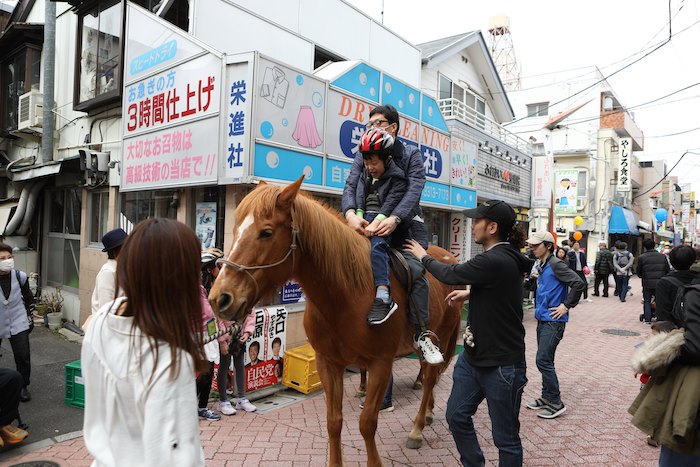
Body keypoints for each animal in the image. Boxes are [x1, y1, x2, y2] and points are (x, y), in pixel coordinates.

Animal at [208, 177, 464, 466]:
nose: (220, 298)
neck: (348, 294)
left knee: (430, 377)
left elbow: (367, 423)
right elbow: (333, 422)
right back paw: (429, 413)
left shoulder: (380, 363)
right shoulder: (328, 362)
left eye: (266, 232)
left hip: (442, 333)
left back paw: (417, 429)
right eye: (235, 229)